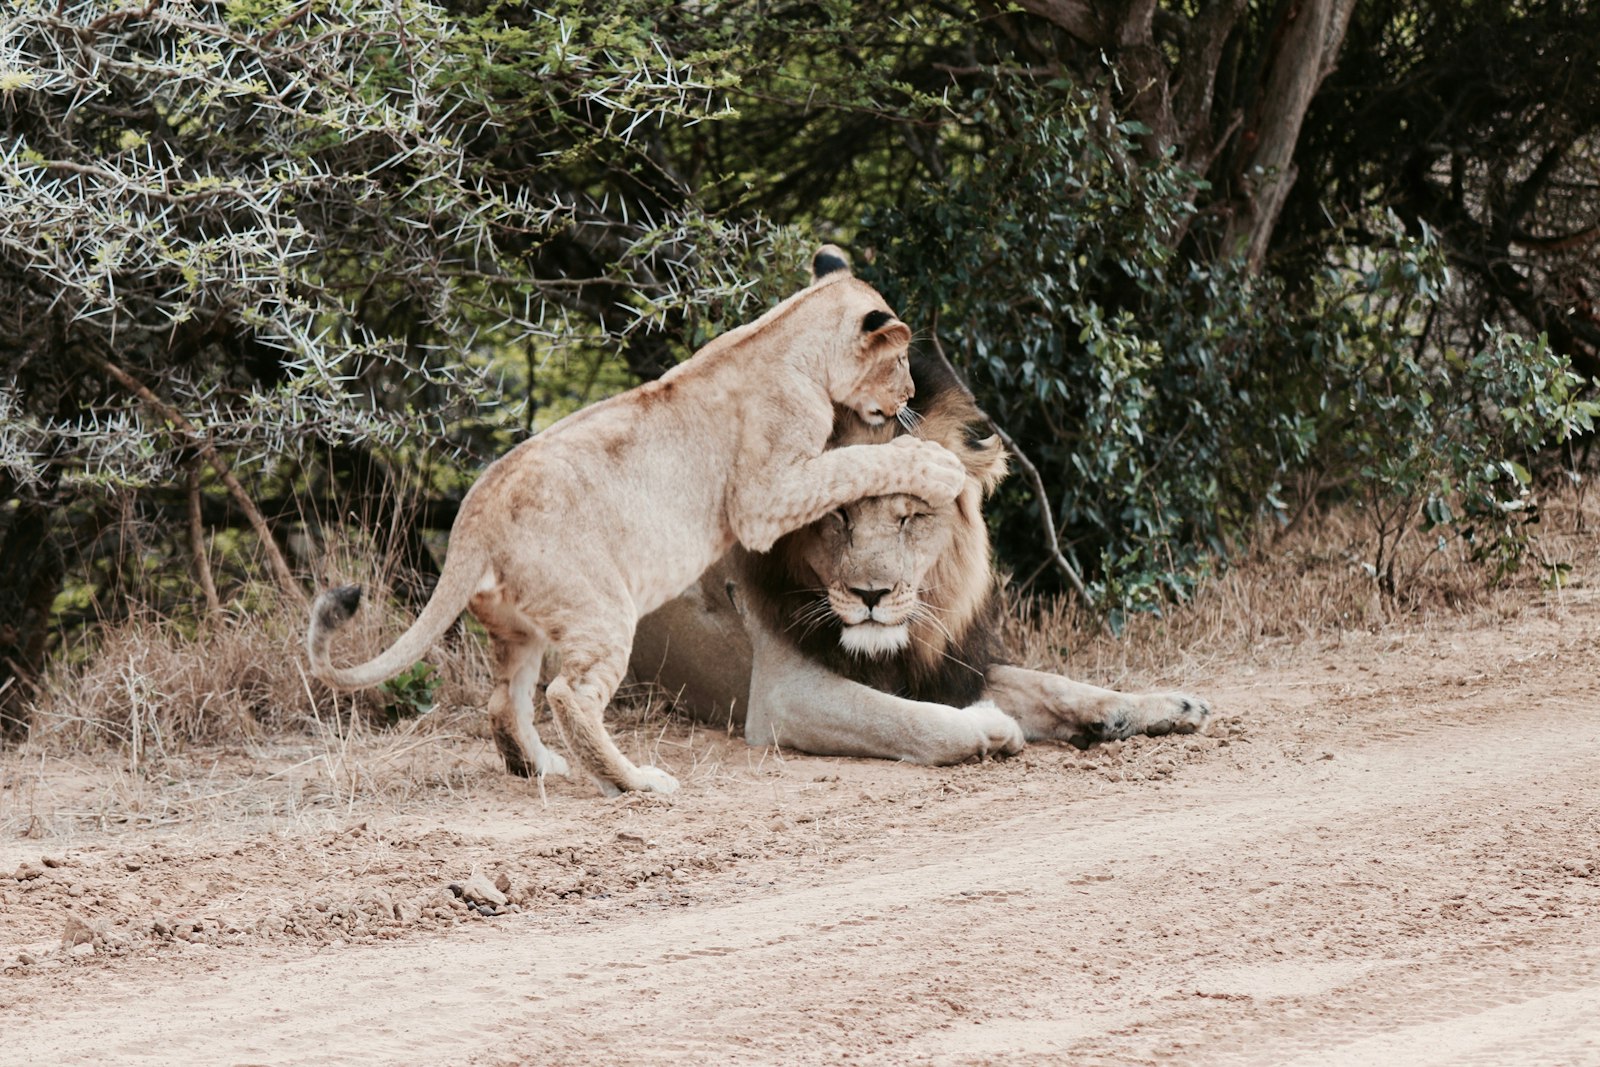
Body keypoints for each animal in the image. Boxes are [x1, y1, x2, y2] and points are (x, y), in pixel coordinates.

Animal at [307, 251, 966, 793]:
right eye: (900, 360)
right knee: (569, 696)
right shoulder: (765, 497)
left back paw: (538, 766)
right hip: (599, 607)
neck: (787, 335)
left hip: (520, 628)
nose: (910, 393)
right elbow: (853, 462)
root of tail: (474, 514)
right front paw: (938, 465)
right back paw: (633, 782)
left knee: (503, 701)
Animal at [624, 355, 1209, 764]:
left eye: (910, 517)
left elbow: (1050, 683)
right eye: (838, 516)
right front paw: (989, 726)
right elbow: (900, 718)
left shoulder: (948, 664)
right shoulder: (781, 696)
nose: (871, 596)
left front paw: (1157, 708)